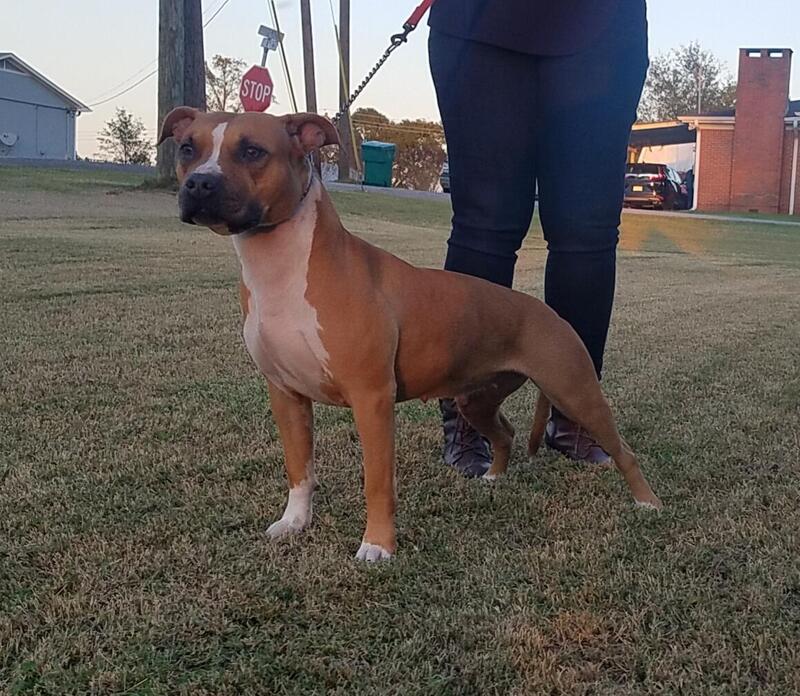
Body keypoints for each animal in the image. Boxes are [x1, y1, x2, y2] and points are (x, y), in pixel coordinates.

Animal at [158, 107, 662, 562]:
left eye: (252, 151)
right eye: (187, 149)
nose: (199, 183)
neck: (281, 269)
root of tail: (550, 313)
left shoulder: (372, 398)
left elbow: (378, 481)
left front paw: (378, 546)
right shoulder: (286, 395)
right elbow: (299, 469)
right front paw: (295, 522)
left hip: (575, 391)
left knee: (625, 451)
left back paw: (648, 503)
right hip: (476, 399)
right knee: (504, 432)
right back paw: (493, 478)